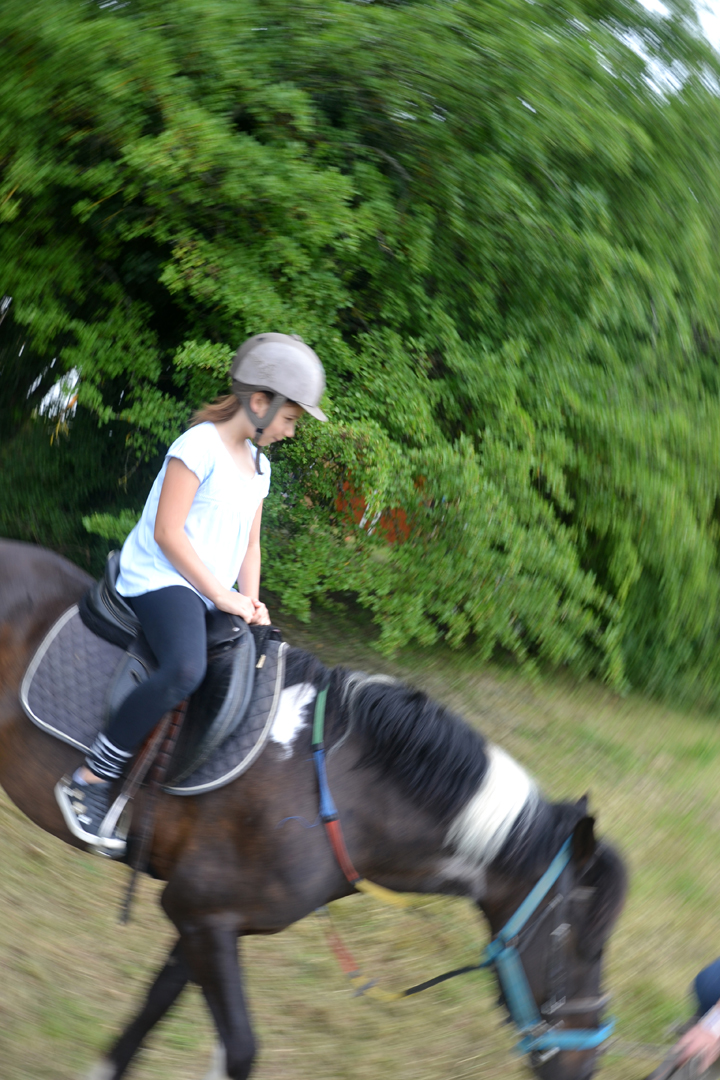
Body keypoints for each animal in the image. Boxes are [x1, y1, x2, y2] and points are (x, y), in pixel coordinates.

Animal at [0, 539, 627, 1080]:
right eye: (579, 943)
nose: (586, 1065)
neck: (331, 794)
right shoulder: (201, 915)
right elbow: (240, 1049)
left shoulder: (207, 919)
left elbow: (155, 1008)